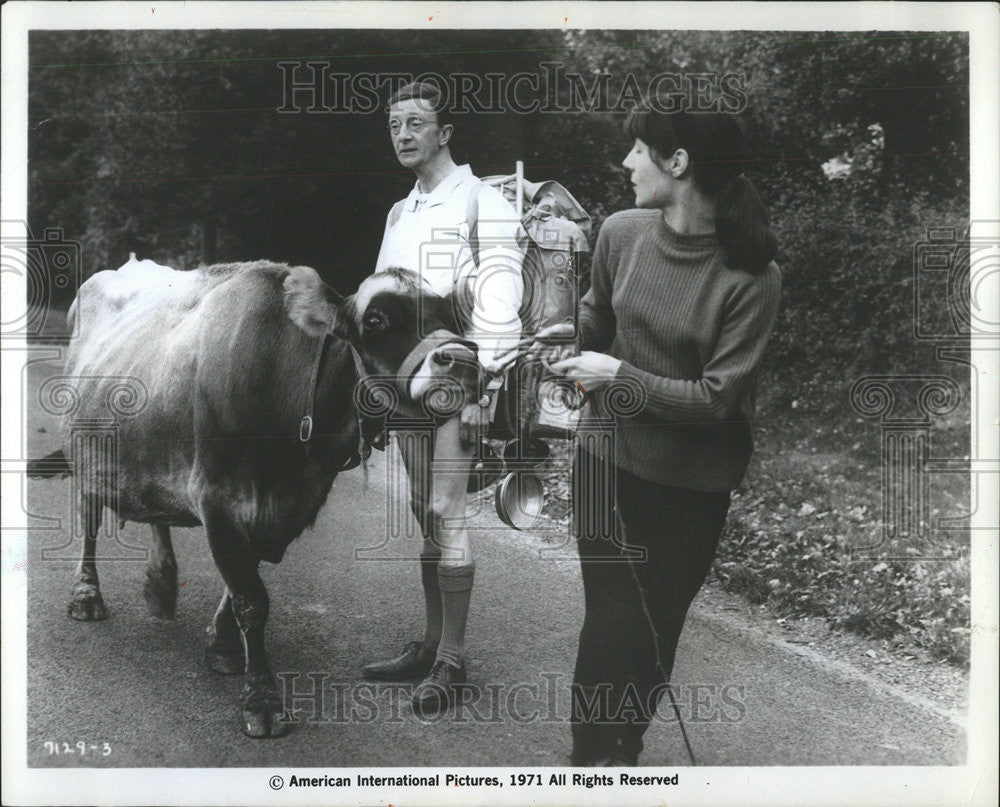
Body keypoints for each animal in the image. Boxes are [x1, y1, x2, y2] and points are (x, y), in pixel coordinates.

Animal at [29, 256, 482, 736]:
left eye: (453, 316)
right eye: (375, 321)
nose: (464, 361)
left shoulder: (287, 509)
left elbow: (240, 588)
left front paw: (224, 646)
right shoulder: (217, 500)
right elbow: (252, 599)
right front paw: (261, 699)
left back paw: (161, 583)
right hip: (86, 450)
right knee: (89, 520)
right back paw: (86, 596)